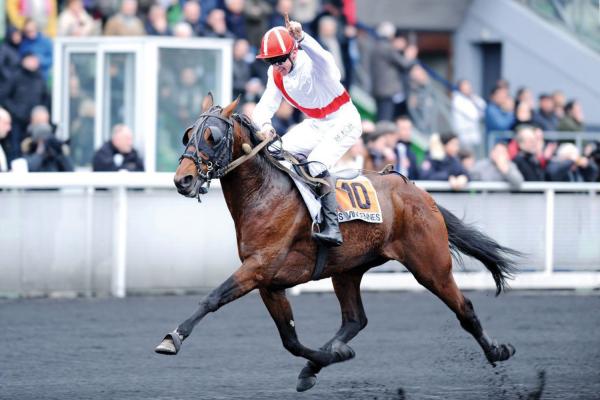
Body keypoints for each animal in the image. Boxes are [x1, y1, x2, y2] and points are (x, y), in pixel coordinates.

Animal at [156, 95, 520, 392]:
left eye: (212, 137)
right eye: (188, 133)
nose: (183, 180)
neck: (263, 194)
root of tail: (417, 190)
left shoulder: (258, 268)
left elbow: (213, 298)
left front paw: (172, 338)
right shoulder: (269, 283)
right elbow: (290, 340)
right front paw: (327, 360)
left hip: (431, 265)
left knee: (464, 308)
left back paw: (498, 349)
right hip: (347, 270)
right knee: (355, 319)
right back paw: (322, 360)